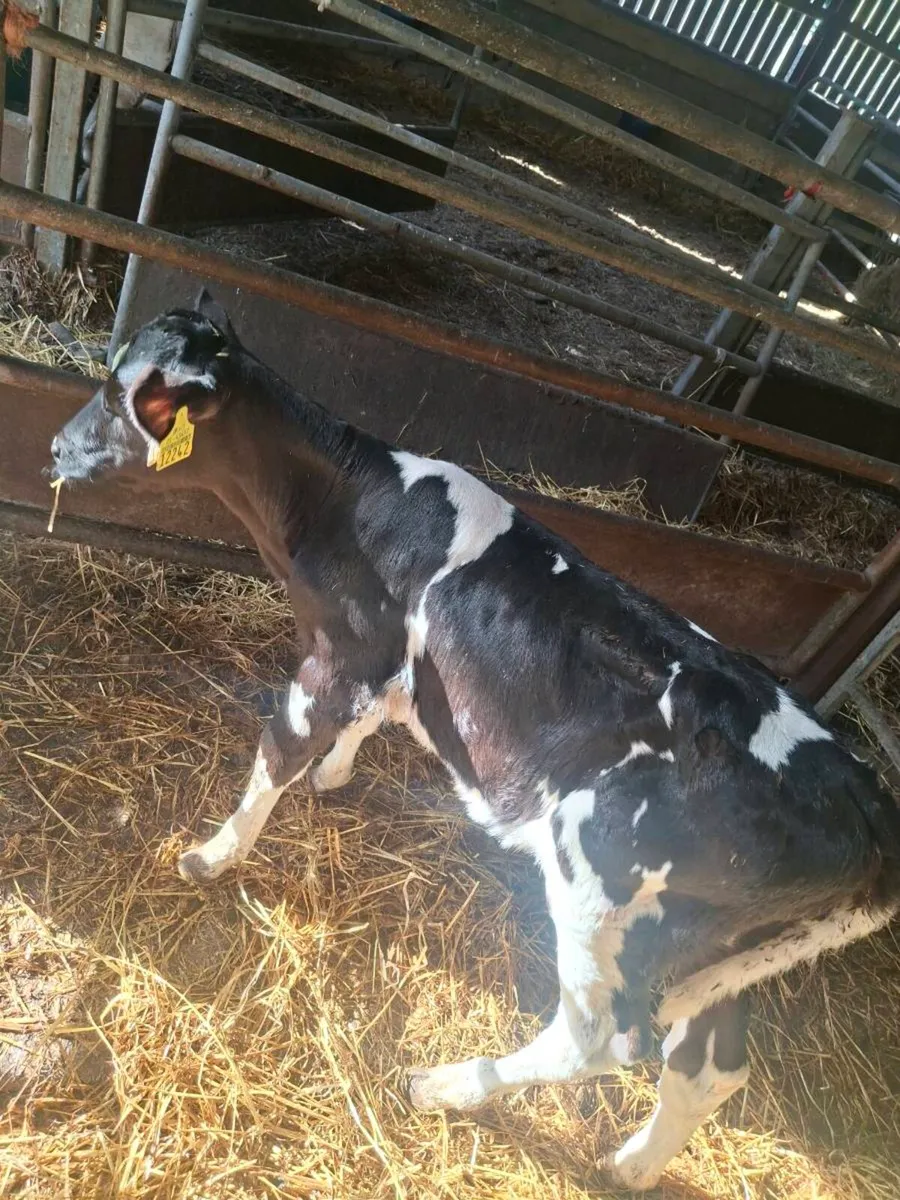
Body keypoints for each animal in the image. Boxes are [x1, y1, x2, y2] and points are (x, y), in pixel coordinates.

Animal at [48, 297, 900, 1190]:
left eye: (120, 396)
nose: (55, 450)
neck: (348, 503)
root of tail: (866, 799)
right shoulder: (384, 664)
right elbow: (369, 720)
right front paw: (334, 775)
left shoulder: (338, 654)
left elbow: (279, 750)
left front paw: (213, 855)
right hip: (719, 948)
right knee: (710, 1066)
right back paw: (630, 1165)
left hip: (603, 893)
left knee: (601, 1039)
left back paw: (449, 1085)